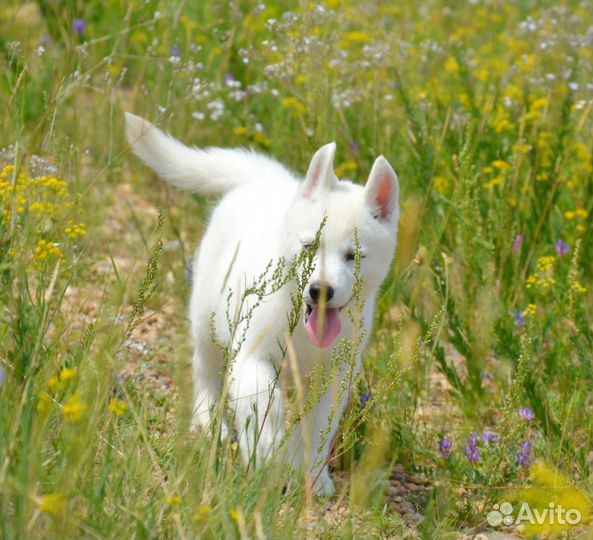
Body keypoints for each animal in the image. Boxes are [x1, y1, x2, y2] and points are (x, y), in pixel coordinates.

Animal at [126, 113, 400, 494]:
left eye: (353, 256)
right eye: (309, 246)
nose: (320, 291)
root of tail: (268, 179)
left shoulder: (335, 375)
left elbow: (318, 428)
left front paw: (312, 477)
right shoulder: (252, 355)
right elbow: (264, 408)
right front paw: (266, 459)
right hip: (208, 317)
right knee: (205, 367)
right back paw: (208, 422)